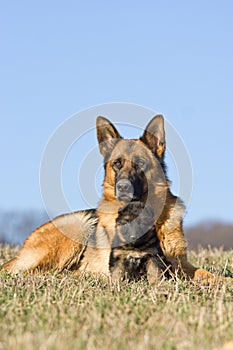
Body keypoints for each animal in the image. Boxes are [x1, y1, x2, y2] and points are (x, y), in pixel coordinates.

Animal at [0, 116, 222, 284]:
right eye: (117, 164)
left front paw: (222, 281)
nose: (122, 187)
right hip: (79, 225)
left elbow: (205, 273)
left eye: (141, 163)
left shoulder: (179, 264)